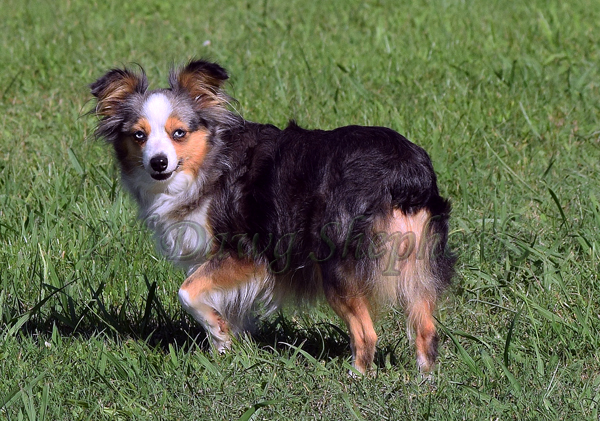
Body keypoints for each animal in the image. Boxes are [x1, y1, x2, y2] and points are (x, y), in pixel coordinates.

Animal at [89, 60, 454, 374]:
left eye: (179, 133)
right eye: (139, 135)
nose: (158, 162)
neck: (210, 161)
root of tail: (406, 170)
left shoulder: (247, 254)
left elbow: (188, 292)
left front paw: (219, 333)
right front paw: (225, 348)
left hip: (335, 262)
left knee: (367, 333)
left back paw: (356, 377)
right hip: (416, 259)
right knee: (425, 327)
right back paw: (424, 382)